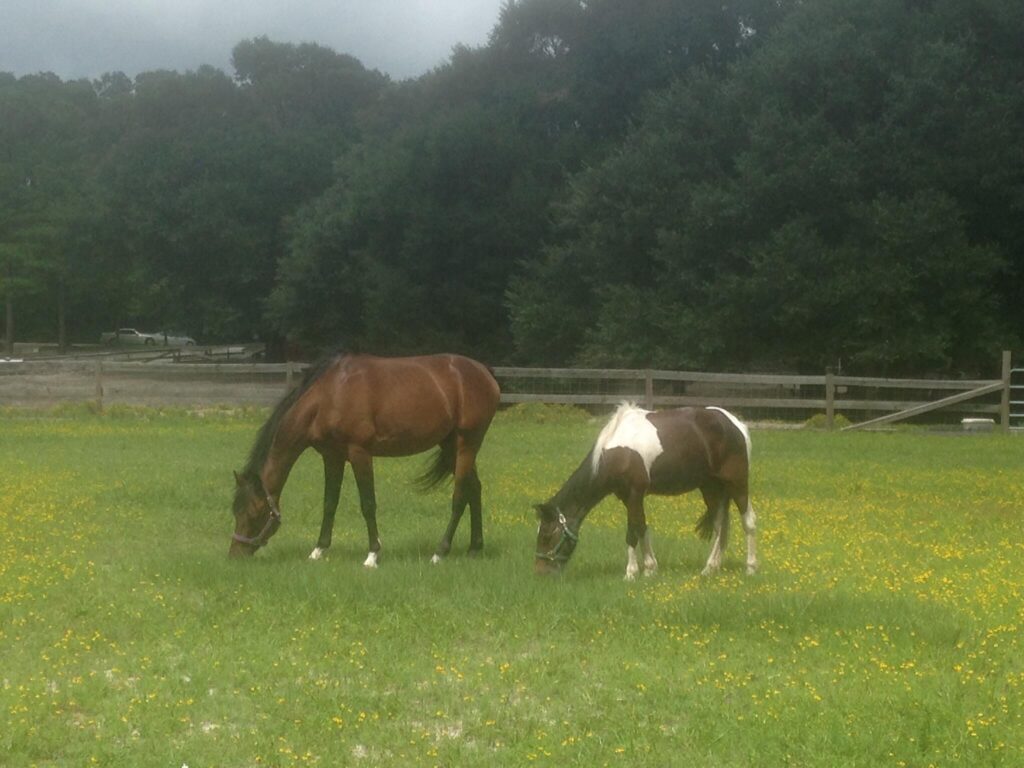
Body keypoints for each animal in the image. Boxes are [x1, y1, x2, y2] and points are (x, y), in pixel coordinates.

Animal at [229, 352, 501, 565]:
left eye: (254, 512)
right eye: (235, 511)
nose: (236, 553)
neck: (330, 395)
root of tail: (485, 373)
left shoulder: (359, 453)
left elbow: (368, 504)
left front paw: (372, 555)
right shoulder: (332, 457)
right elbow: (330, 503)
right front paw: (318, 551)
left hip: (467, 443)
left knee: (460, 496)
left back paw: (440, 552)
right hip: (451, 445)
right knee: (474, 489)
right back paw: (474, 548)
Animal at [534, 403, 758, 579]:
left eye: (545, 535)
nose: (541, 572)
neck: (616, 453)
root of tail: (735, 424)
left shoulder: (635, 493)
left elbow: (632, 532)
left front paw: (631, 572)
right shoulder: (627, 497)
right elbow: (641, 527)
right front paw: (650, 569)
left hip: (737, 483)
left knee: (748, 522)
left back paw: (751, 567)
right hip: (711, 487)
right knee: (721, 526)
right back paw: (710, 568)